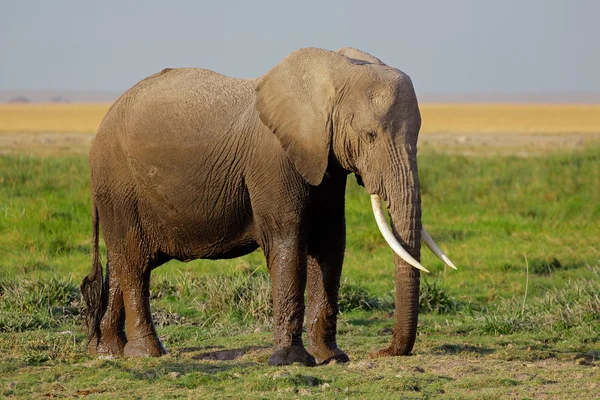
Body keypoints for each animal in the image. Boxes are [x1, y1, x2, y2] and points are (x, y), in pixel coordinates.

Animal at [79, 46, 454, 366]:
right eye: (369, 136)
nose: (382, 351)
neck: (334, 73)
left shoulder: (326, 159)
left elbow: (331, 242)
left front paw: (333, 358)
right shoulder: (273, 160)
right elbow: (288, 241)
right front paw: (291, 362)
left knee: (121, 261)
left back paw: (108, 351)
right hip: (120, 186)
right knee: (135, 262)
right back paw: (148, 354)